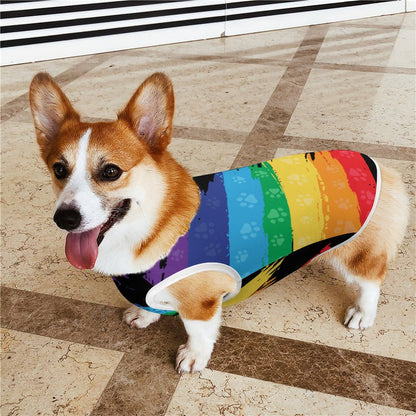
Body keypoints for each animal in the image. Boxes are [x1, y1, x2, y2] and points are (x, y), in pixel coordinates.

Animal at [30, 71, 410, 374]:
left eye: (111, 172)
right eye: (59, 169)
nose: (65, 218)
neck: (151, 226)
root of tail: (380, 166)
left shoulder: (201, 303)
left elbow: (199, 333)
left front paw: (192, 358)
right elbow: (149, 305)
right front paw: (144, 316)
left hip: (358, 255)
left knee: (372, 279)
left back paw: (363, 313)